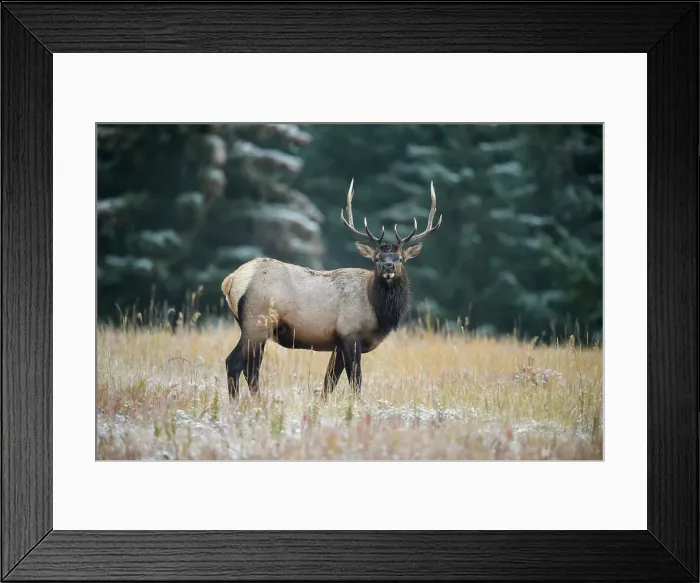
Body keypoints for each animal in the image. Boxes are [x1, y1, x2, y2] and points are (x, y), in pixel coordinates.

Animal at [220, 179, 442, 399]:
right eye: (376, 258)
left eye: (400, 258)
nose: (388, 267)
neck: (378, 312)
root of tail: (231, 280)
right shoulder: (350, 333)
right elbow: (355, 380)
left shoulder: (338, 344)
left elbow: (329, 382)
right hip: (257, 322)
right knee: (235, 362)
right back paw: (238, 403)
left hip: (257, 327)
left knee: (252, 367)